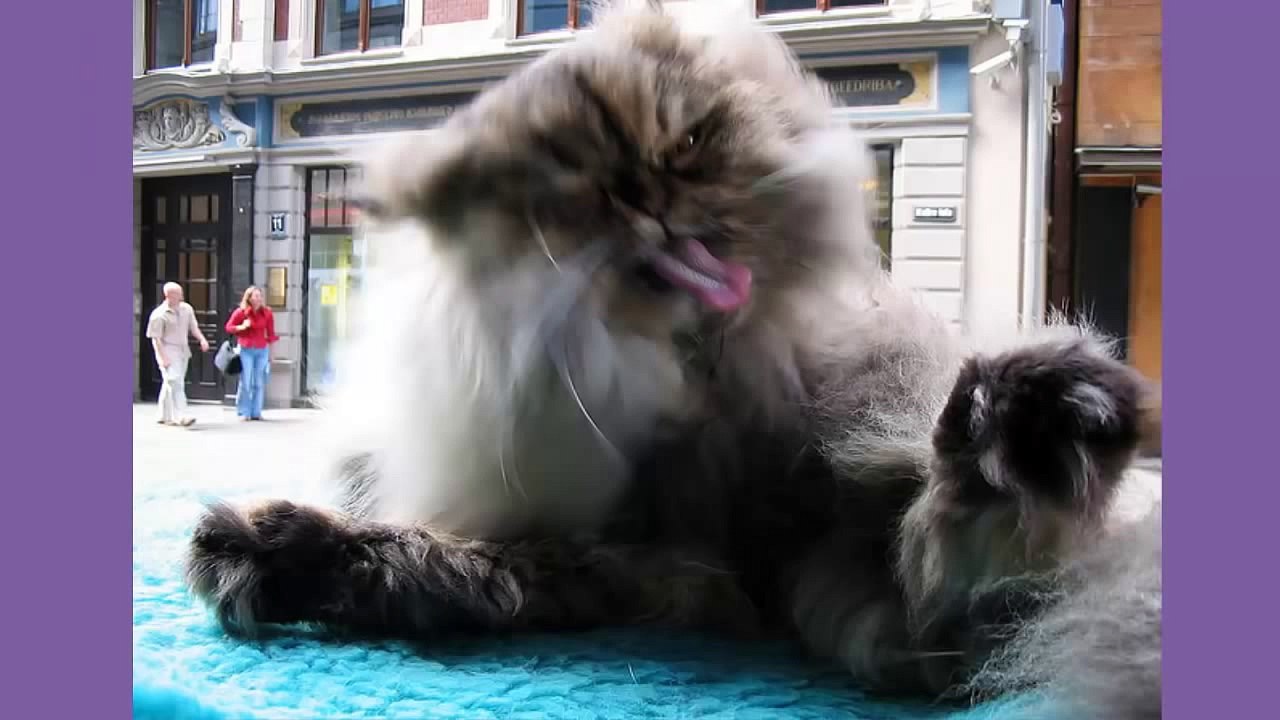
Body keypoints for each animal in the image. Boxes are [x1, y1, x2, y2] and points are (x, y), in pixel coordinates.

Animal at [185, 3, 1162, 718]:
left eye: (688, 144)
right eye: (581, 200)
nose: (651, 201)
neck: (703, 377)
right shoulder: (626, 556)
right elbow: (438, 561)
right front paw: (265, 553)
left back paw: (1037, 421)